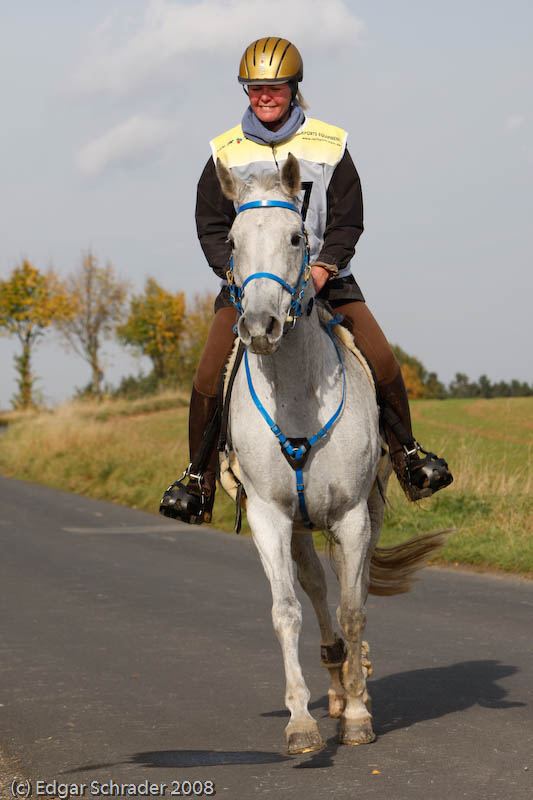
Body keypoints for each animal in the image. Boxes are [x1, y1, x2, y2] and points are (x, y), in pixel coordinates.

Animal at [216, 153, 444, 752]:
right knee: (318, 589)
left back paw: (354, 681)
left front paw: (360, 714)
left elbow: (355, 607)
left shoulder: (350, 515)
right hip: (300, 525)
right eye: (232, 239)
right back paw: (337, 680)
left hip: (369, 512)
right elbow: (288, 610)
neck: (298, 396)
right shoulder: (270, 518)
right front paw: (302, 721)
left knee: (350, 585)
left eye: (297, 237)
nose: (260, 327)